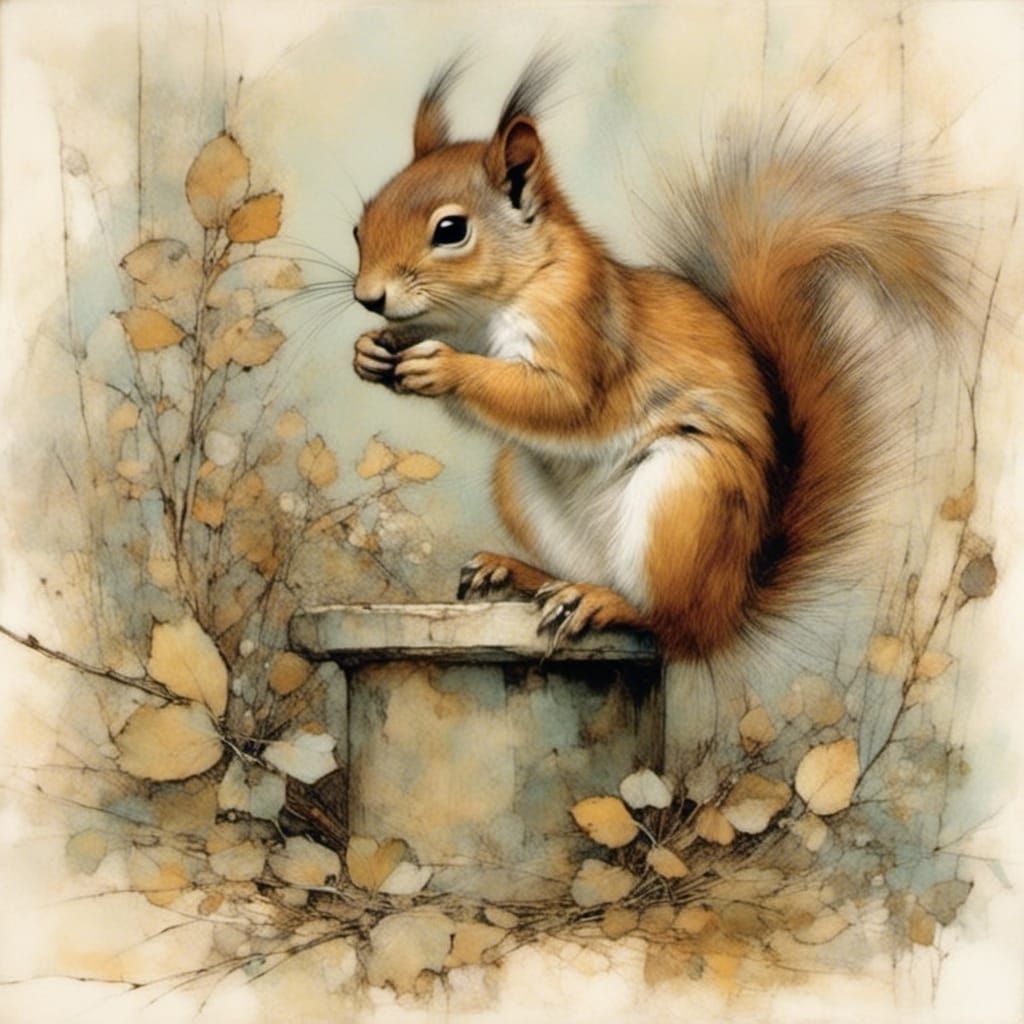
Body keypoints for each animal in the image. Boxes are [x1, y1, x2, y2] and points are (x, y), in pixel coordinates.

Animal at [350, 54, 957, 659]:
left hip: (686, 494)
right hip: (523, 484)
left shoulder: (582, 322)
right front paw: (370, 352)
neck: (485, 307)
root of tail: (731, 602)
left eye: (451, 230)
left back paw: (602, 603)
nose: (368, 297)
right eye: (360, 225)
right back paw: (518, 572)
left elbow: (562, 401)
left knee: (671, 624)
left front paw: (442, 367)